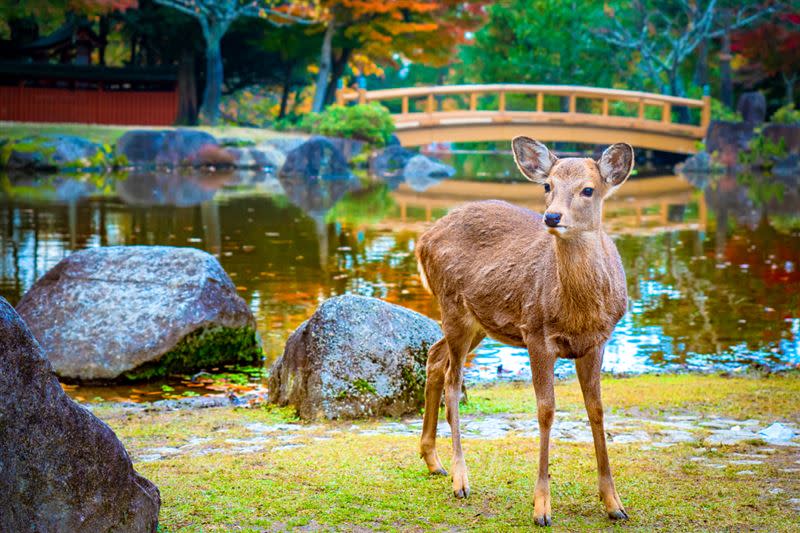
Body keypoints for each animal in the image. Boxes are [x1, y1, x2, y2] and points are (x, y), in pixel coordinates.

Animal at [416, 135, 636, 524]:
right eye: (548, 185)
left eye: (588, 189)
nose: (552, 216)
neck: (577, 312)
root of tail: (422, 241)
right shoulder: (536, 334)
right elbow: (546, 411)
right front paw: (542, 507)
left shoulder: (598, 340)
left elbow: (596, 409)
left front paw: (614, 504)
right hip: (453, 306)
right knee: (453, 381)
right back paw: (460, 479)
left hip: (477, 323)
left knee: (435, 355)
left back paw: (432, 461)